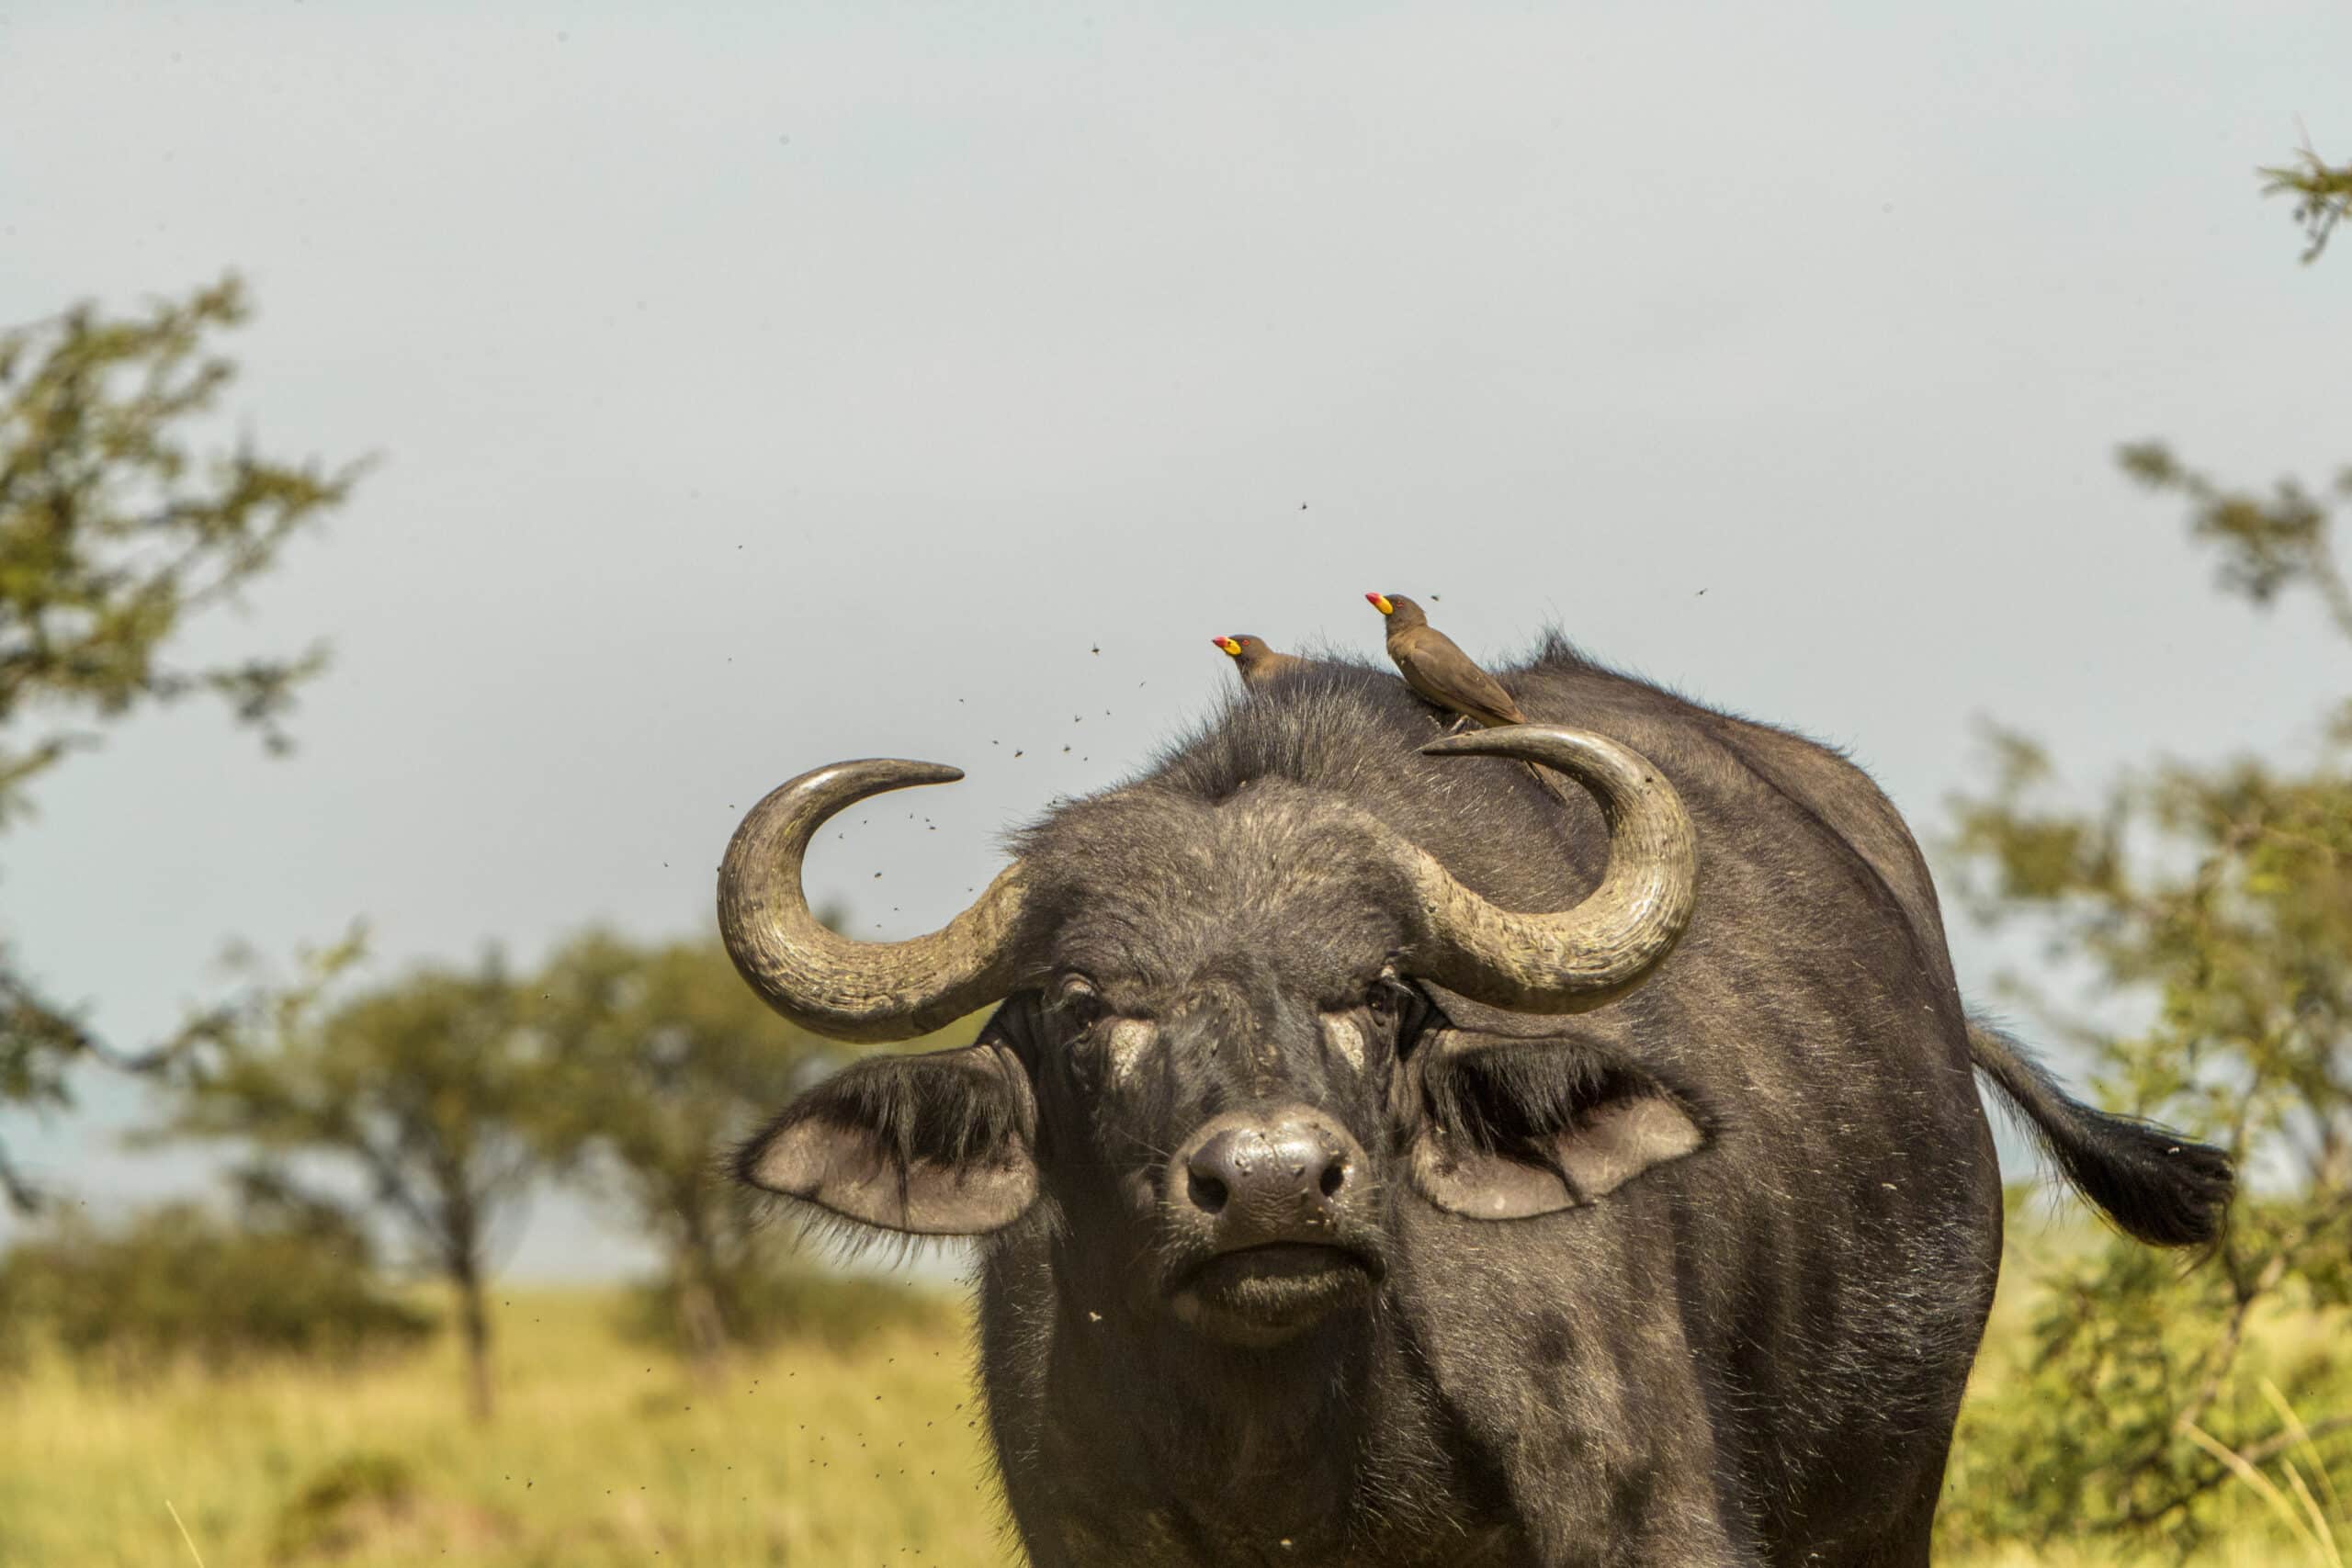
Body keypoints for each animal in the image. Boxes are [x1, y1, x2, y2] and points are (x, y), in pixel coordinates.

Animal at [710, 644, 2220, 1561]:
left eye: (1378, 987)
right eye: (1088, 1003)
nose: (1273, 1183)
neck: (1287, 1436)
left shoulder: (1651, 1518)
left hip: (1891, 1494)